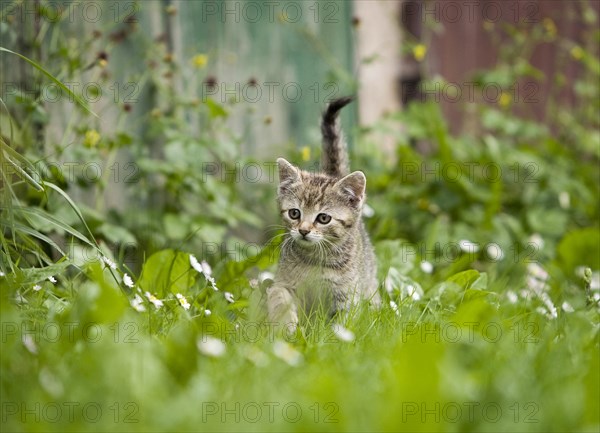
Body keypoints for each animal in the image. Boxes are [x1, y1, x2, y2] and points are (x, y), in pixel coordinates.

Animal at [268, 96, 380, 330]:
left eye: (323, 218)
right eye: (294, 213)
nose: (303, 231)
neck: (315, 260)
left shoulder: (348, 297)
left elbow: (341, 325)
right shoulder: (282, 282)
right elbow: (278, 296)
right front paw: (286, 326)